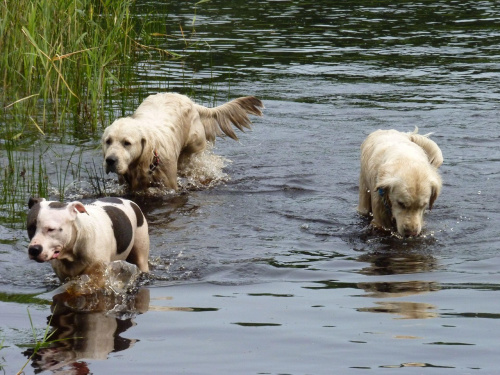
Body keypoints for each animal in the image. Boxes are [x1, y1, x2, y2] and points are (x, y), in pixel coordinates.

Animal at [102, 91, 266, 191]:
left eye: (127, 143)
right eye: (108, 141)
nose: (110, 160)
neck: (149, 161)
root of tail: (190, 101)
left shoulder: (169, 185)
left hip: (193, 150)